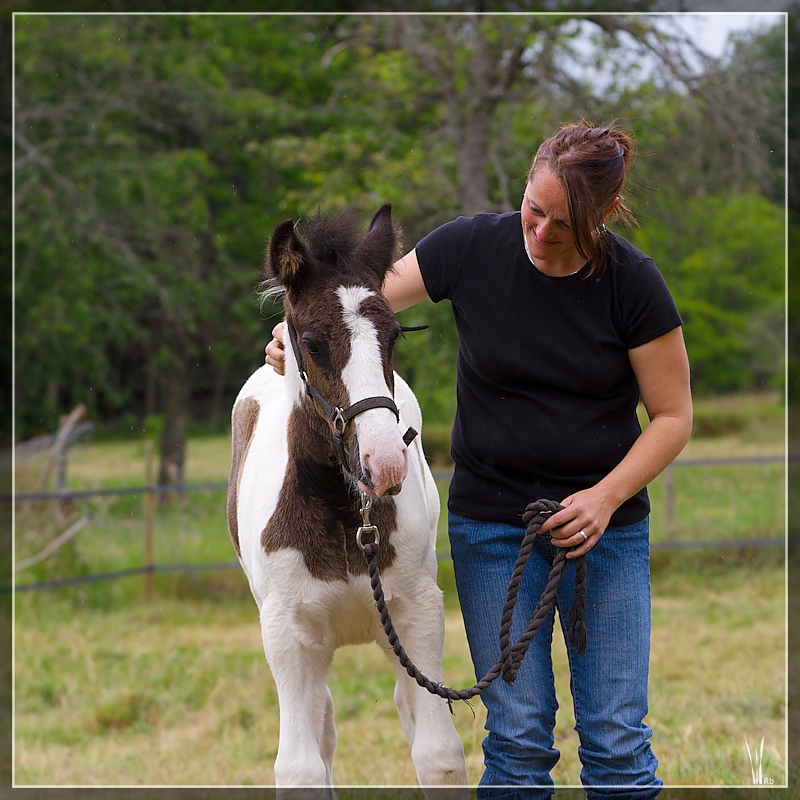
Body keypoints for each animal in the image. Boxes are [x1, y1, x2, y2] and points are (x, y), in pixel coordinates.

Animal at [227, 203, 468, 796]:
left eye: (394, 336)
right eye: (312, 342)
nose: (384, 462)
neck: (345, 517)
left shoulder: (417, 614)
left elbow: (438, 754)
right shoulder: (288, 634)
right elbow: (300, 767)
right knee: (325, 725)